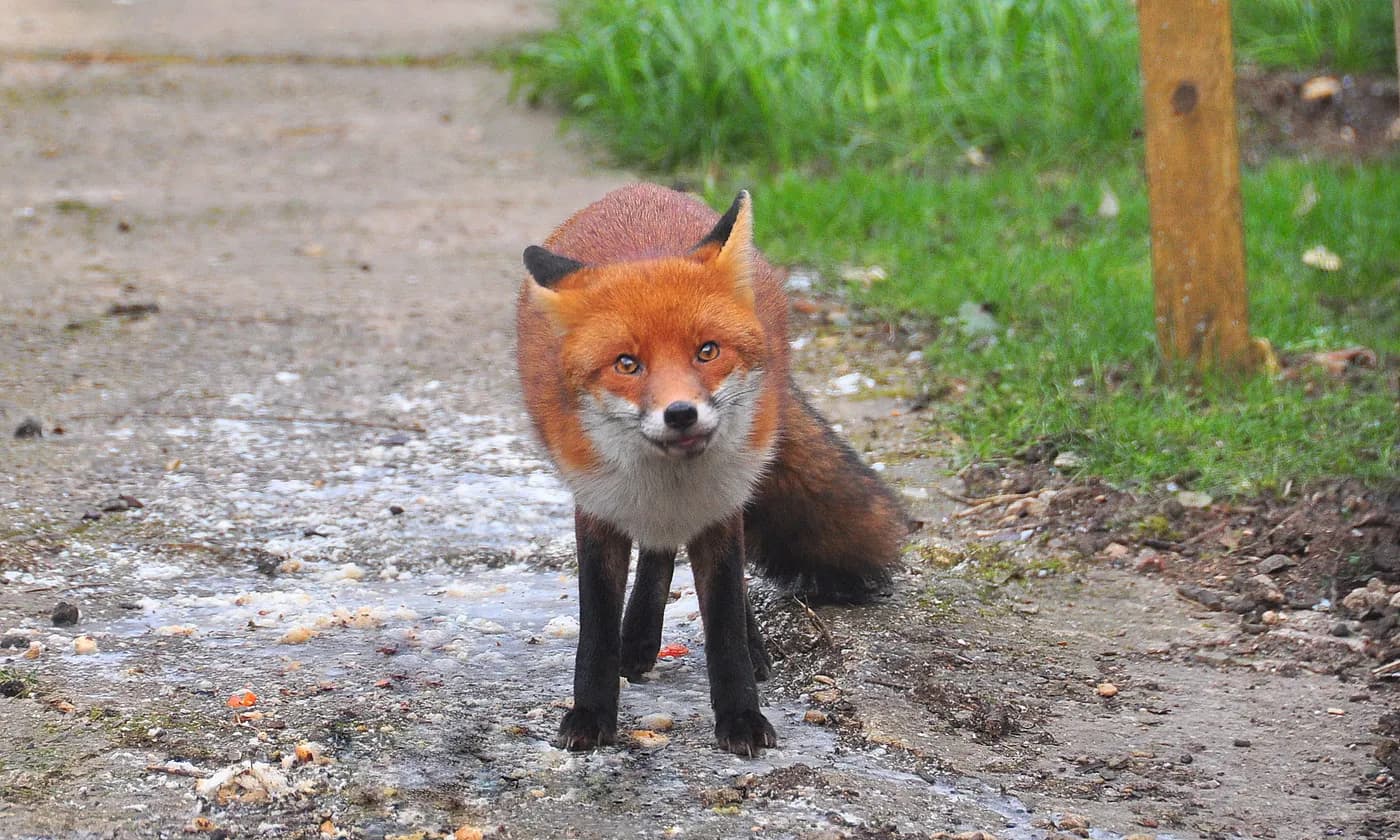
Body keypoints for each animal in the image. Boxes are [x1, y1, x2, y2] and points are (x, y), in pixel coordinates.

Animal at [515, 183, 906, 755]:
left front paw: (742, 716)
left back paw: (744, 646)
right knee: (657, 551)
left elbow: (723, 621)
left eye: (707, 351)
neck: (671, 479)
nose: (681, 414)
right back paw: (638, 639)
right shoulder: (597, 506)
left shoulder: (722, 506)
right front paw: (590, 713)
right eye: (627, 364)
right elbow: (596, 626)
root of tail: (640, 188)